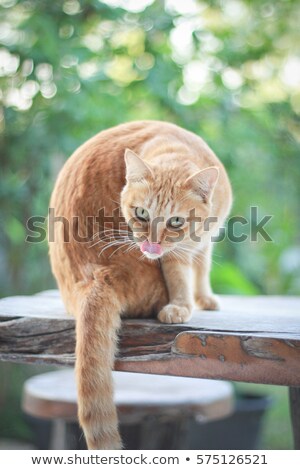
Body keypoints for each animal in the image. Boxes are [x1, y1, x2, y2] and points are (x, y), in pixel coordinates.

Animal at [48, 120, 232, 448]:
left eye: (175, 221)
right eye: (142, 213)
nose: (150, 244)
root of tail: (95, 276)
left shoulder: (204, 242)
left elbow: (202, 266)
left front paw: (205, 298)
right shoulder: (174, 258)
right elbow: (181, 275)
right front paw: (182, 306)